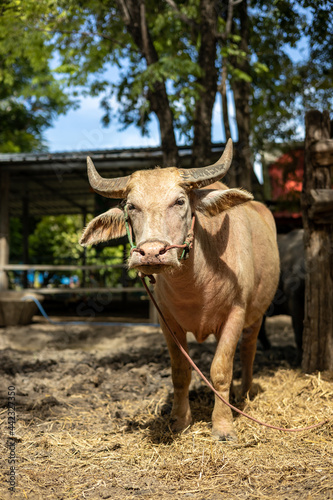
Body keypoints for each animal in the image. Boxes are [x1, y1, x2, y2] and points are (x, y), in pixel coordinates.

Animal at [81, 141, 280, 442]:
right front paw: (179, 420)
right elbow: (180, 371)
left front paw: (223, 427)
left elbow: (221, 369)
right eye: (131, 206)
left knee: (248, 350)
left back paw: (244, 392)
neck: (196, 284)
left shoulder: (236, 313)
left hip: (257, 314)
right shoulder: (168, 321)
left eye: (180, 201)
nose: (151, 253)